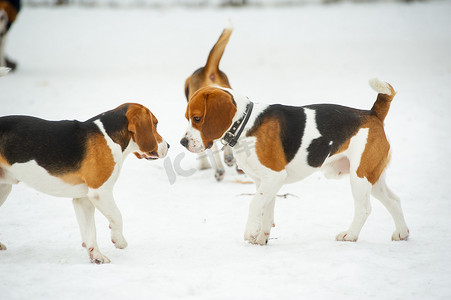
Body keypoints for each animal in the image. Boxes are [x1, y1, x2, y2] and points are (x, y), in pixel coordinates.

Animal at [0, 103, 170, 262]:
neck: (109, 136)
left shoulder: (83, 199)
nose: (169, 146)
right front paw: (119, 240)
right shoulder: (100, 192)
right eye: (155, 124)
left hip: (4, 188)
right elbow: (117, 216)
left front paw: (96, 255)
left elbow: (90, 231)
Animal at [180, 80, 410, 246]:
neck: (244, 124)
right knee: (394, 200)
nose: (183, 142)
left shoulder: (274, 176)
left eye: (197, 118)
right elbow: (265, 210)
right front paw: (261, 239)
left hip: (359, 178)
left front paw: (250, 232)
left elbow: (254, 204)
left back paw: (350, 235)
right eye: (188, 118)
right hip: (373, 177)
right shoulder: (264, 182)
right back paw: (401, 233)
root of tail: (372, 113)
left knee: (364, 209)